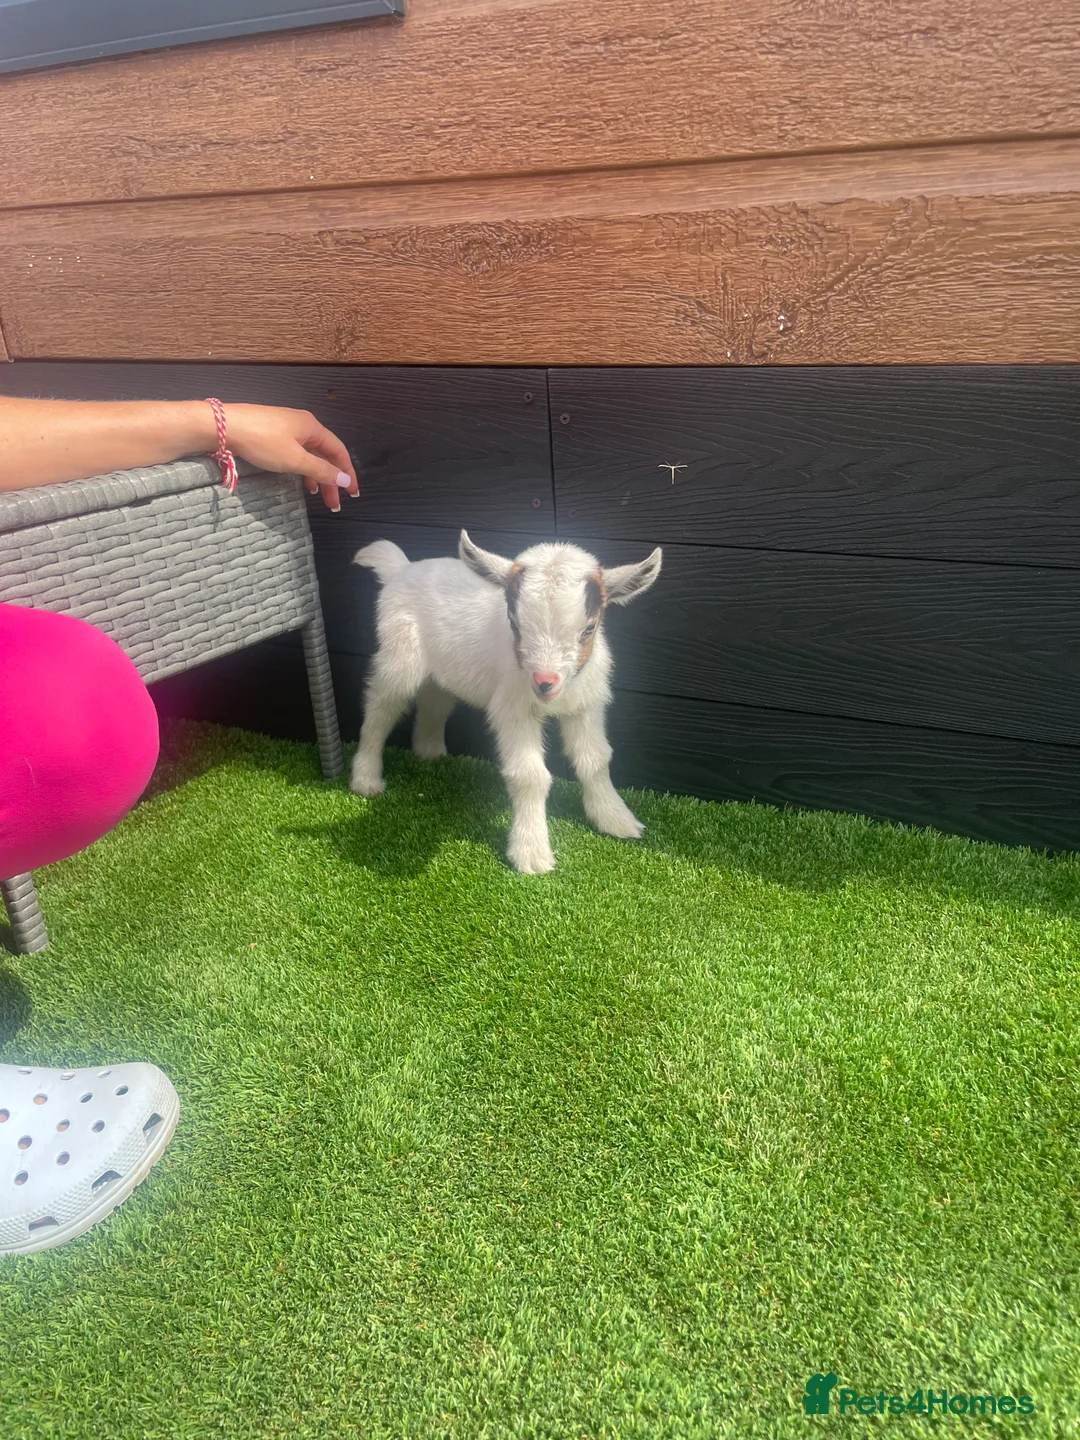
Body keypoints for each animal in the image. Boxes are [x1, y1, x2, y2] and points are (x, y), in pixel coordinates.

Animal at [350, 531, 662, 873]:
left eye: (589, 628)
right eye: (514, 623)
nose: (545, 682)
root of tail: (401, 569)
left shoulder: (585, 704)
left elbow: (595, 759)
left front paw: (616, 820)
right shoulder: (513, 709)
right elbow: (530, 775)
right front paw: (532, 854)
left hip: (441, 669)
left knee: (435, 700)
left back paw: (430, 752)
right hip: (399, 655)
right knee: (380, 708)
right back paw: (365, 779)